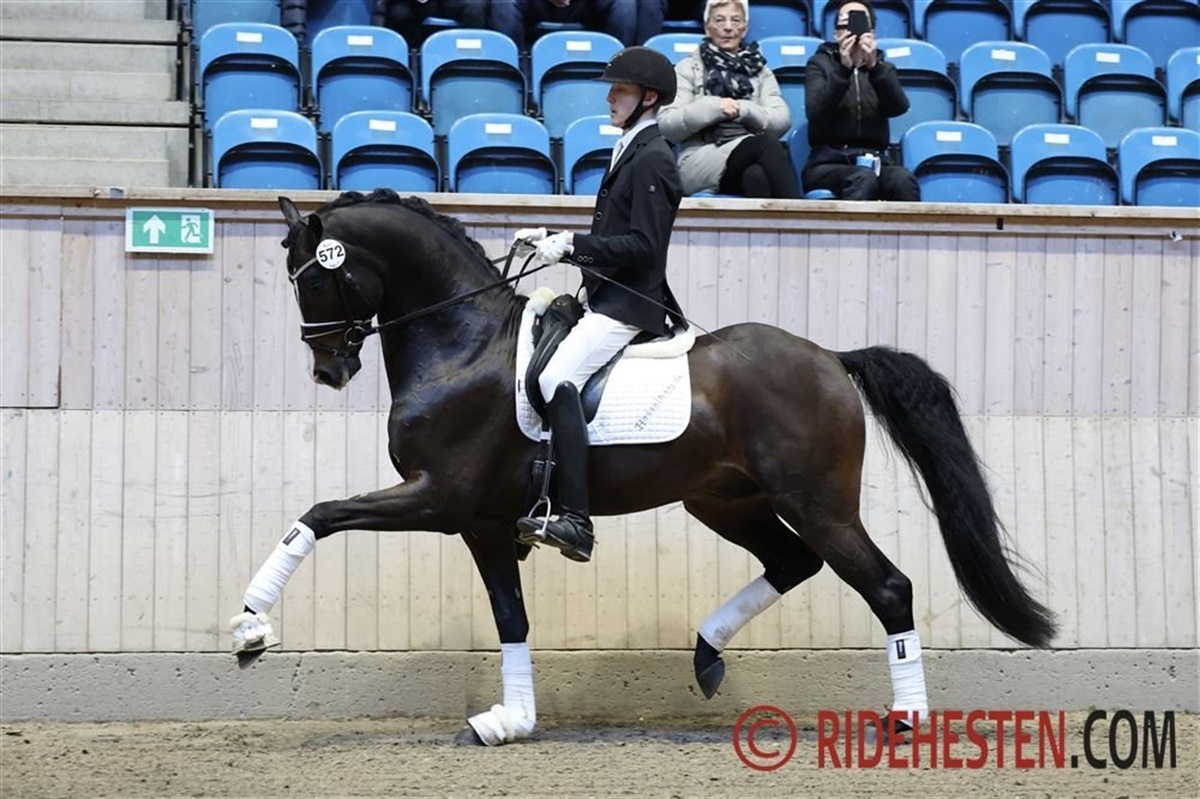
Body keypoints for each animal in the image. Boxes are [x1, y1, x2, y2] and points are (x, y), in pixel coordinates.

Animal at [229, 188, 1056, 746]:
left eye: (315, 277)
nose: (328, 370)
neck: (462, 344)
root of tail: (829, 356)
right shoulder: (484, 522)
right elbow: (511, 616)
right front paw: (512, 719)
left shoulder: (438, 498)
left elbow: (317, 515)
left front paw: (250, 626)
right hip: (724, 500)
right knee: (792, 563)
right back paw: (706, 655)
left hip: (817, 500)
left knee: (888, 585)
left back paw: (907, 717)